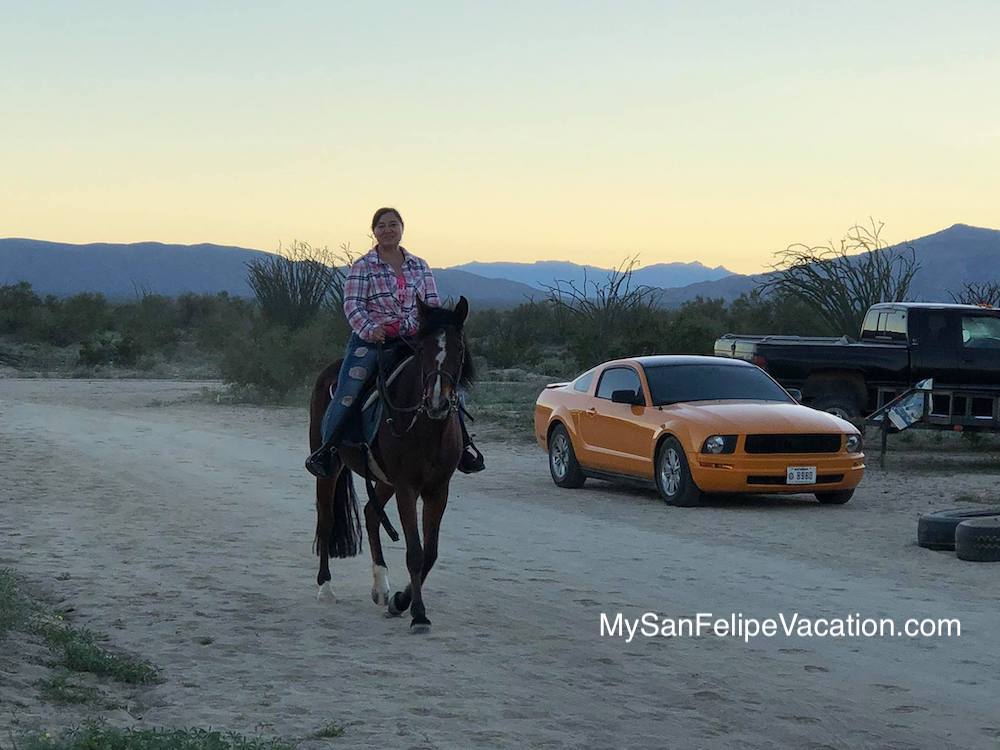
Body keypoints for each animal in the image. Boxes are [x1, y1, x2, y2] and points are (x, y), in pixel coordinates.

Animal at [306, 296, 474, 636]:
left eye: (459, 348)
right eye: (422, 349)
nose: (438, 401)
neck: (426, 426)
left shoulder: (438, 490)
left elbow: (430, 553)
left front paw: (400, 601)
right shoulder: (407, 488)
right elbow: (415, 552)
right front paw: (418, 614)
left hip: (385, 481)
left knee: (371, 513)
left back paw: (381, 588)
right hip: (331, 469)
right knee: (326, 519)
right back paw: (326, 587)